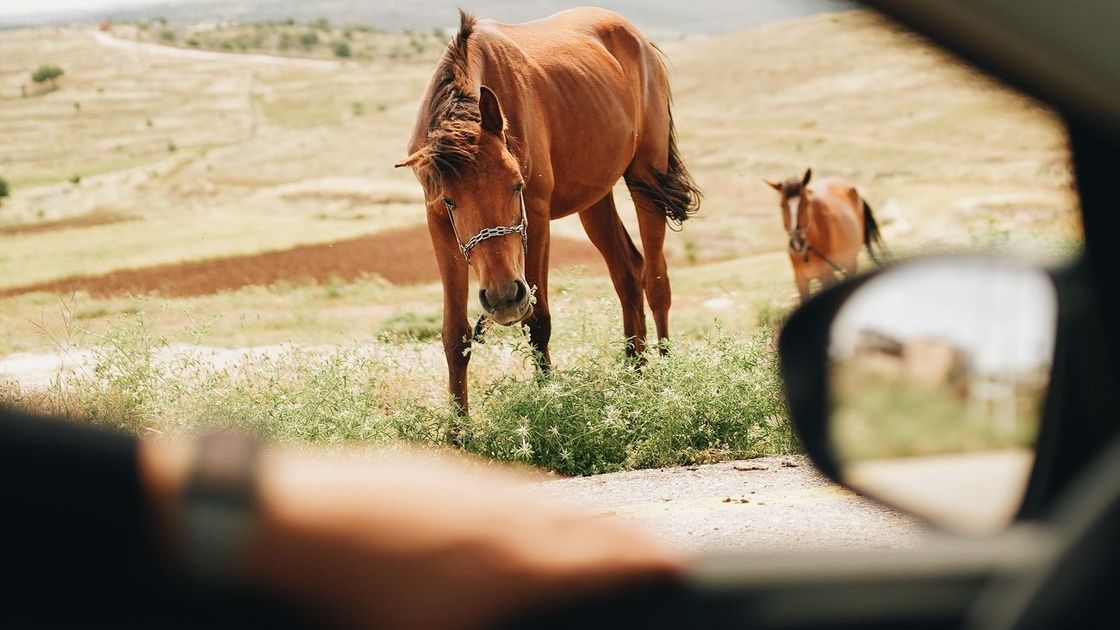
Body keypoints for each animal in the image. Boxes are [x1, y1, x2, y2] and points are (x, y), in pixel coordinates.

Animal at [396, 8, 701, 415]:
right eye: (449, 201)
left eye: (516, 186)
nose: (503, 297)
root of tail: (638, 38)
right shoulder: (438, 226)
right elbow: (454, 335)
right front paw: (459, 426)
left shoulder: (537, 218)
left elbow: (537, 321)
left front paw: (547, 402)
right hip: (595, 201)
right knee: (627, 274)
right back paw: (634, 377)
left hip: (645, 180)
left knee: (656, 280)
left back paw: (666, 379)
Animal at [765, 169, 884, 301]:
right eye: (782, 205)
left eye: (806, 203)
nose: (797, 243)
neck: (808, 252)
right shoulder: (801, 282)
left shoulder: (826, 276)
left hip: (851, 263)